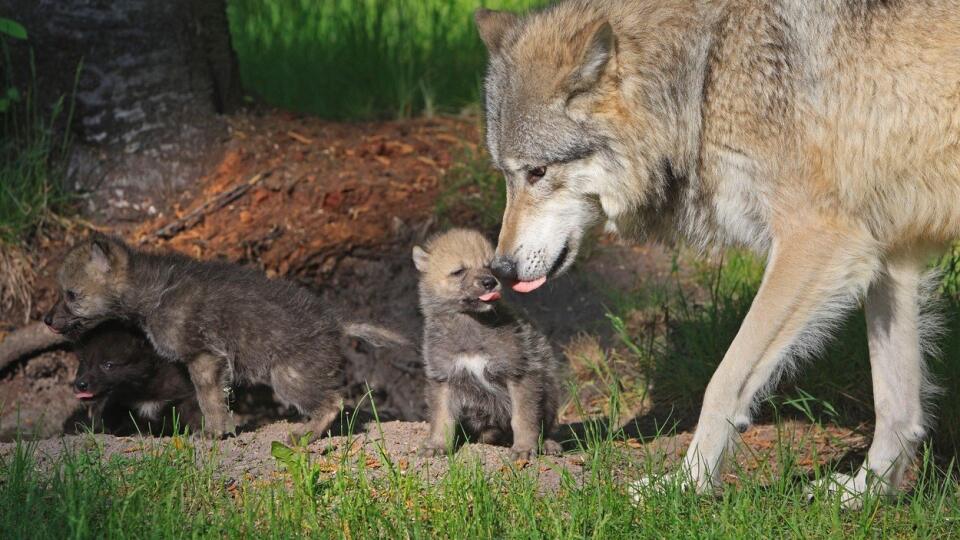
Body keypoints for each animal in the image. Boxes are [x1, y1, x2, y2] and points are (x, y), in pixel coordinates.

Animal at [474, 1, 960, 506]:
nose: (501, 269)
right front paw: (867, 492)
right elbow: (895, 404)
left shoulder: (819, 241)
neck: (704, 75)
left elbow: (723, 382)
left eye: (537, 172)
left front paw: (686, 484)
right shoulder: (890, 253)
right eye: (505, 174)